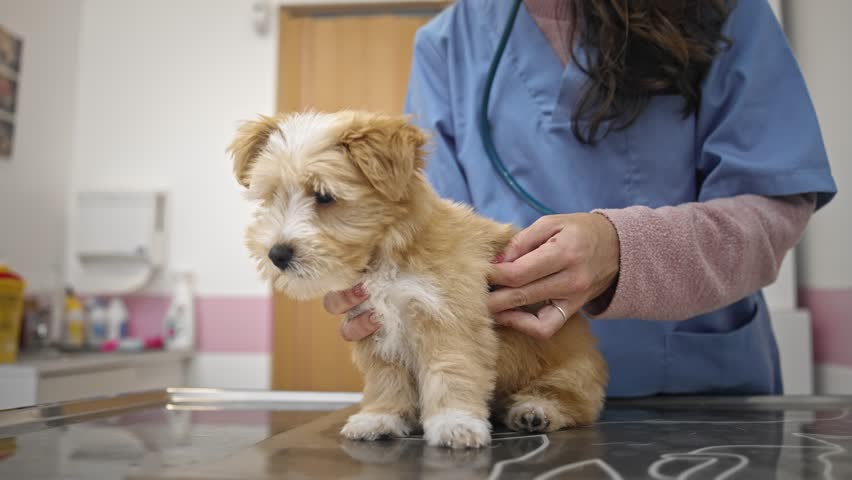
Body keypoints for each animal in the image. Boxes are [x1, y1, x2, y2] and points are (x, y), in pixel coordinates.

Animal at [230, 110, 608, 448]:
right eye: (271, 196)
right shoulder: (375, 328)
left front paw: (455, 422)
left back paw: (536, 410)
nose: (277, 254)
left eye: (324, 196)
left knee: (574, 403)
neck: (387, 254)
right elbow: (386, 379)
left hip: (573, 373)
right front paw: (382, 417)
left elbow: (450, 372)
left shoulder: (448, 320)